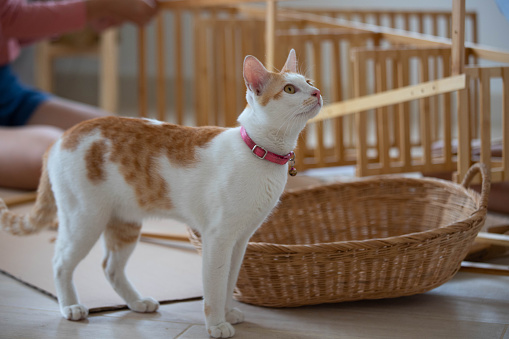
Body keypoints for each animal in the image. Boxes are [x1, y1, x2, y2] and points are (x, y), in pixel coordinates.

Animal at [0, 49, 322, 338]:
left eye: (308, 81)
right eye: (290, 89)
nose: (318, 92)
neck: (258, 152)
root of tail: (62, 137)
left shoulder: (240, 240)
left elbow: (230, 281)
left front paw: (228, 312)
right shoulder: (217, 239)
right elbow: (215, 285)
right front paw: (216, 324)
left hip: (125, 222)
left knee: (110, 267)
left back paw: (137, 302)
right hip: (84, 220)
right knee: (60, 262)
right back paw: (70, 307)